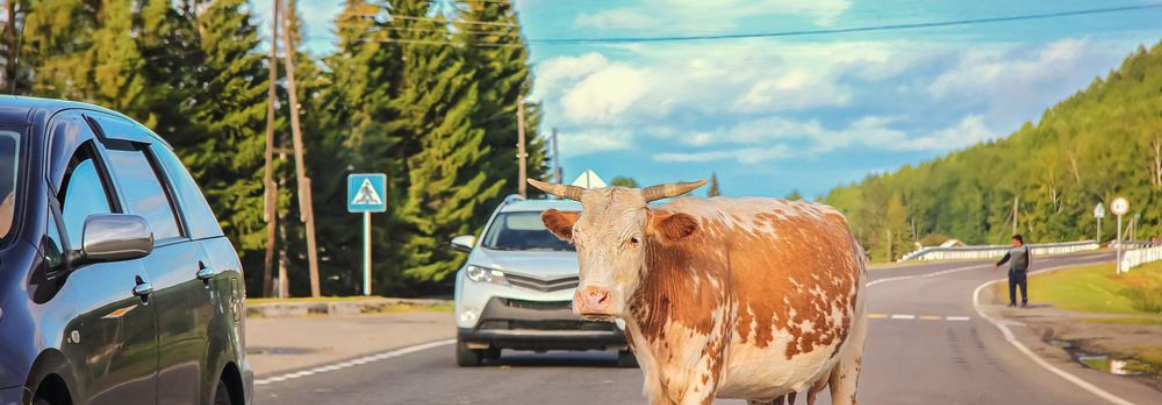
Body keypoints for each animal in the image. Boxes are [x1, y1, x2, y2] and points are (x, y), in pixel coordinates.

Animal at [532, 178, 869, 403]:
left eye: (634, 239)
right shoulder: (657, 385)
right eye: (577, 238)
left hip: (848, 363)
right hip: (769, 382)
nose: (593, 297)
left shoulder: (701, 379)